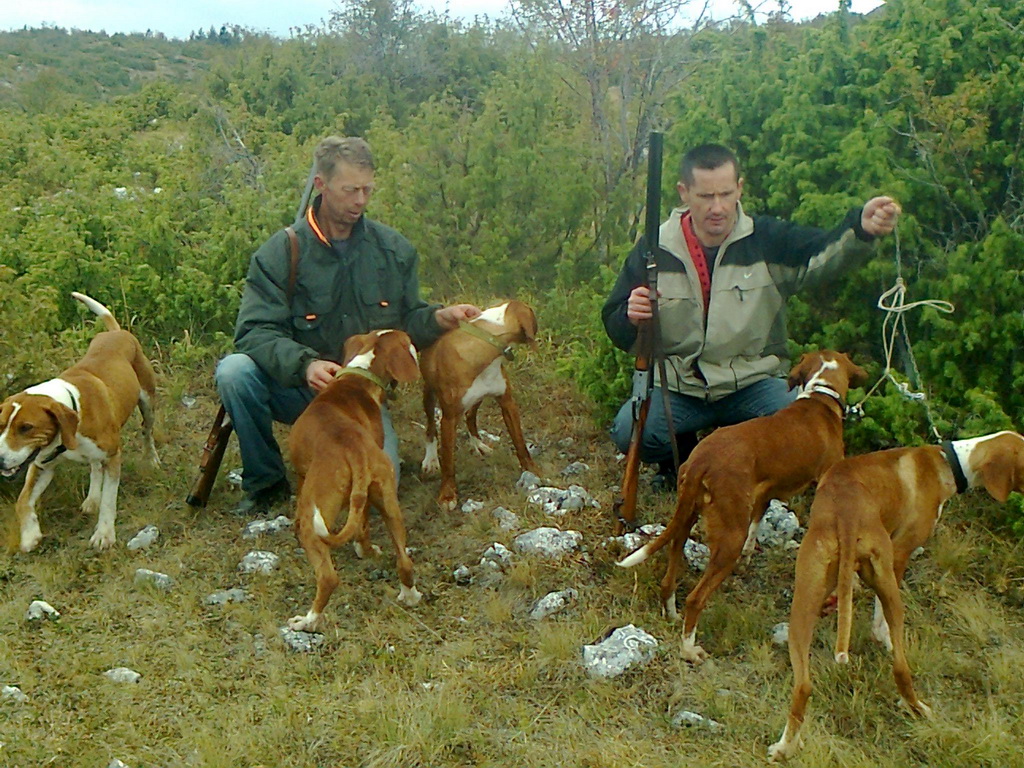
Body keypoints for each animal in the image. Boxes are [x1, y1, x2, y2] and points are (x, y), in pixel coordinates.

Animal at [0, 292, 157, 552]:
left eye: (26, 428)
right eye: (1, 425)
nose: (0, 460)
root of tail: (116, 332)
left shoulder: (113, 456)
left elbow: (109, 501)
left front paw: (104, 534)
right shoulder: (41, 465)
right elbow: (22, 501)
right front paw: (30, 534)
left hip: (147, 401)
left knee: (147, 431)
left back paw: (152, 459)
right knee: (94, 466)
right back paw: (92, 498)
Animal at [286, 327, 421, 634]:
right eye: (408, 342)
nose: (418, 348)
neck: (359, 375)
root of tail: (354, 450)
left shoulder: (301, 476)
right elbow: (362, 526)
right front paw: (365, 549)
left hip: (313, 513)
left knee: (327, 578)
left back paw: (307, 620)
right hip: (387, 500)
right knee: (404, 561)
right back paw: (410, 594)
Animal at [417, 301, 540, 512]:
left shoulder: (507, 403)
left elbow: (520, 444)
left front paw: (531, 470)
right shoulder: (449, 418)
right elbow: (448, 463)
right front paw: (447, 494)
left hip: (478, 398)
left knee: (470, 417)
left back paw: (478, 444)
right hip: (429, 394)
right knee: (430, 427)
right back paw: (431, 459)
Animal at [614, 352, 864, 663]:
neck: (820, 396)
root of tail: (700, 461)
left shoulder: (763, 495)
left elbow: (755, 528)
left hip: (686, 519)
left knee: (668, 580)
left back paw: (671, 615)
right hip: (727, 537)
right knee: (695, 599)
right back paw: (689, 649)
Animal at [770, 434, 1024, 765]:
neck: (950, 461)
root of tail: (846, 515)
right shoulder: (900, 553)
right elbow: (881, 623)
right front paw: (884, 637)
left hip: (803, 602)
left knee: (802, 687)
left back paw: (784, 747)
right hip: (888, 589)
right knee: (901, 669)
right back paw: (918, 708)